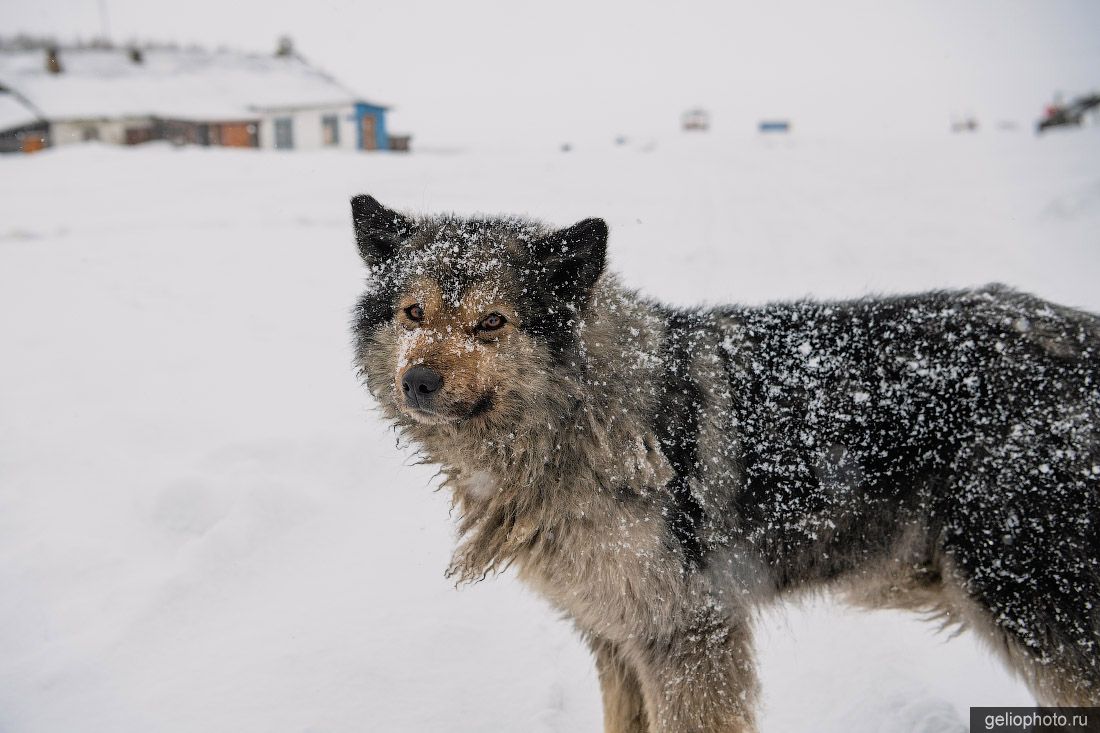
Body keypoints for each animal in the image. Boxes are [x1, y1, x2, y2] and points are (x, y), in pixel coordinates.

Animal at [349, 193, 1100, 730]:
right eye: (413, 312)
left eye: (491, 323)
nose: (418, 382)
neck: (591, 416)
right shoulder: (616, 636)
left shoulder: (691, 633)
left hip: (1028, 600)